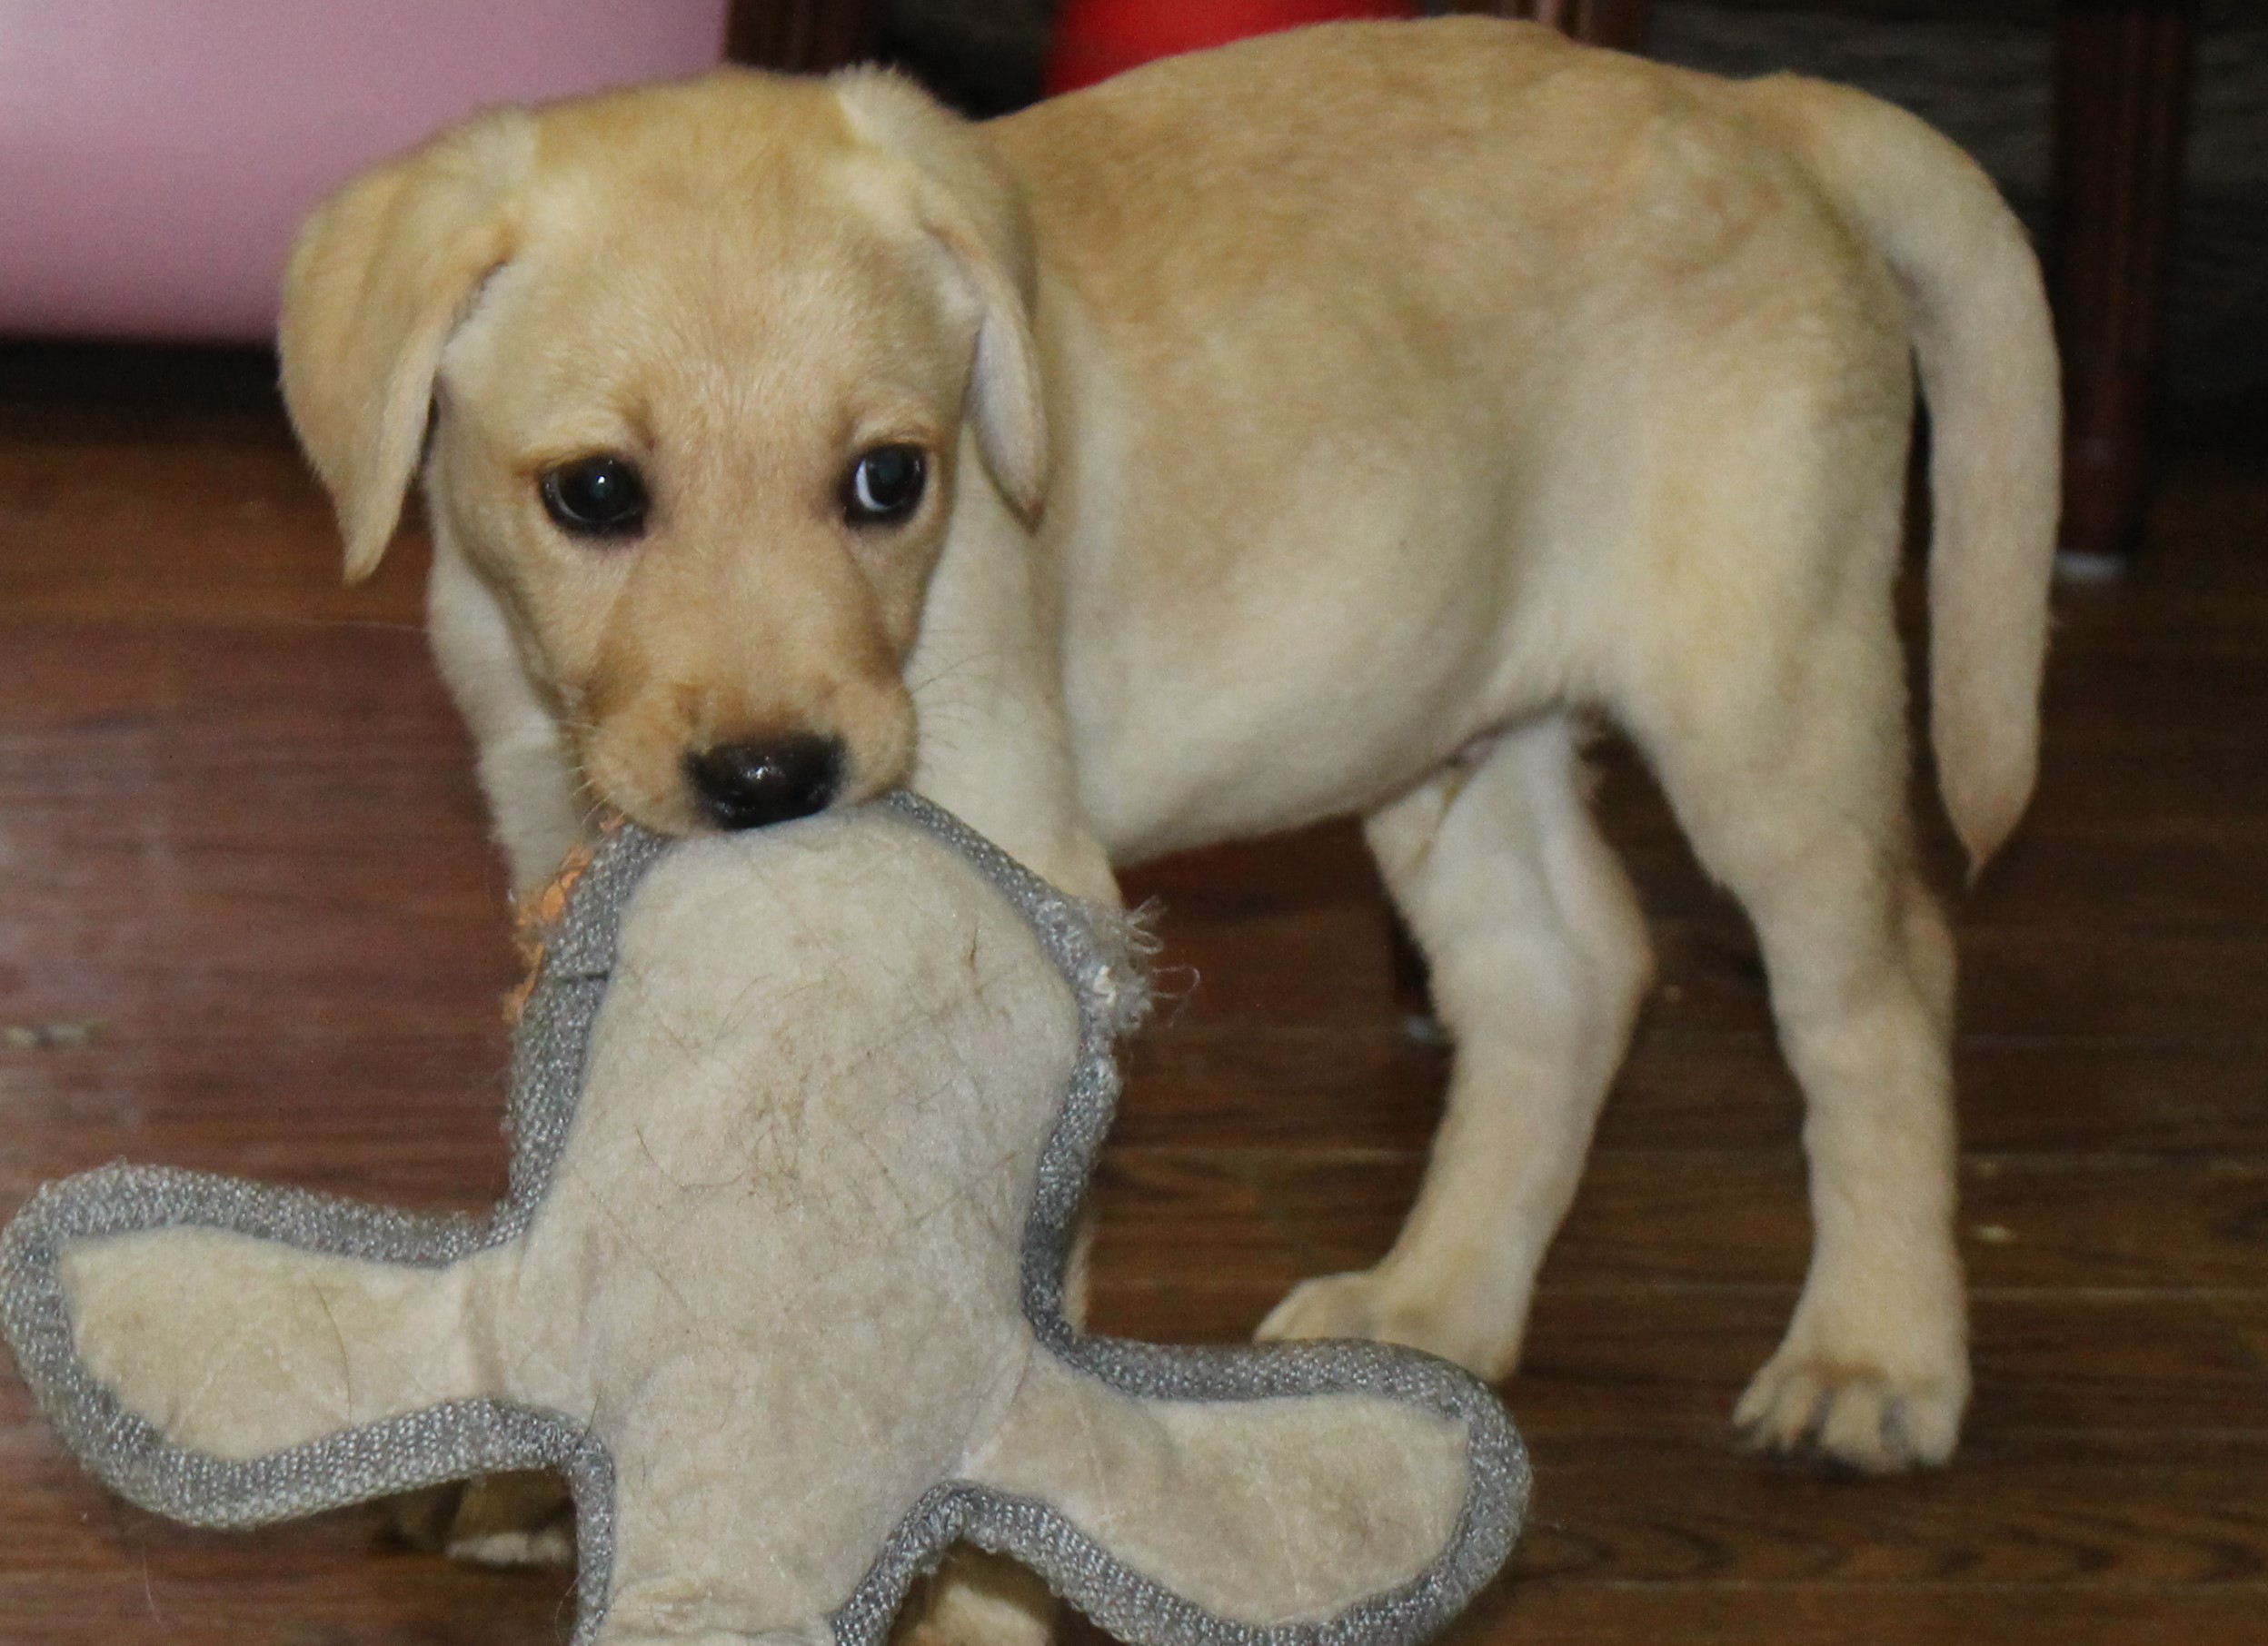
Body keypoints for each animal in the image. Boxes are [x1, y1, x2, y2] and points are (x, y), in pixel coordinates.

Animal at [279, 13, 2059, 1496]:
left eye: (887, 480)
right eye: (594, 494)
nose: (777, 779)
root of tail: (1750, 103)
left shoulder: (1021, 870)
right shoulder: (558, 839)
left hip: (1767, 694)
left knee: (1879, 995)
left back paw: (1874, 1357)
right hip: (1445, 714)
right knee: (1562, 972)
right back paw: (1435, 1298)